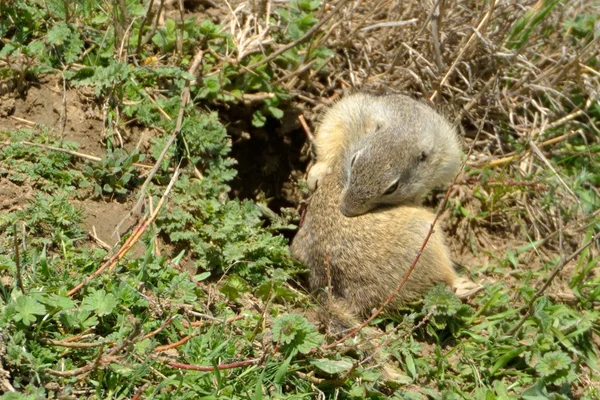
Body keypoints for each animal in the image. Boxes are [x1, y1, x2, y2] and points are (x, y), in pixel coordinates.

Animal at [308, 92, 462, 217]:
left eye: (392, 188)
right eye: (353, 161)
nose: (345, 210)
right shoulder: (348, 115)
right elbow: (328, 141)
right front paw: (317, 174)